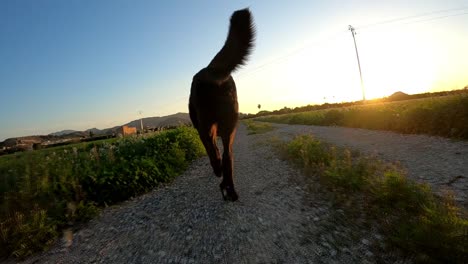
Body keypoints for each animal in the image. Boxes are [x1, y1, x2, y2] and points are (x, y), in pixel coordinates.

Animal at [188, 9, 256, 201]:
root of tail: (211, 69)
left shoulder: (203, 130)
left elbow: (212, 151)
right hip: (230, 126)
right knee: (227, 157)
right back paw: (229, 189)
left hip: (206, 126)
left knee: (216, 152)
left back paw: (220, 176)